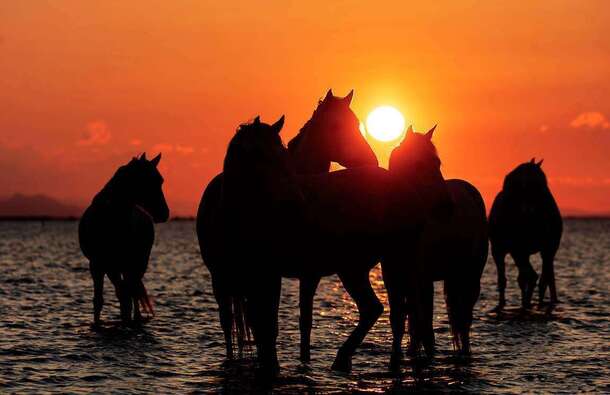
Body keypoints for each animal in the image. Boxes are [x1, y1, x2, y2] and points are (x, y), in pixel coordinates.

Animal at [79, 153, 169, 326]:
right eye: (147, 180)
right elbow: (100, 300)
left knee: (132, 291)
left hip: (137, 264)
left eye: (160, 180)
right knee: (124, 291)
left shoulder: (129, 264)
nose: (164, 213)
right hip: (115, 268)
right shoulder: (97, 266)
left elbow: (128, 296)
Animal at [196, 89, 376, 362]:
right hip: (222, 279)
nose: (371, 160)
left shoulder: (307, 273)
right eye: (336, 126)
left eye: (356, 124)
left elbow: (304, 323)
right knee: (228, 323)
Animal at [382, 126, 486, 368]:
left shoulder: (420, 277)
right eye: (418, 164)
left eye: (438, 163)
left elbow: (423, 322)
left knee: (464, 318)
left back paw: (465, 354)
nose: (447, 207)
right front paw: (396, 359)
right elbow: (399, 320)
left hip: (470, 275)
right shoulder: (392, 277)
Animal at [484, 159, 560, 310]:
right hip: (547, 252)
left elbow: (503, 279)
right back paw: (538, 303)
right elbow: (522, 279)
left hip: (521, 251)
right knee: (543, 279)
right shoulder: (521, 251)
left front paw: (502, 303)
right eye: (540, 182)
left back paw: (528, 303)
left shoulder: (499, 250)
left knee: (533, 277)